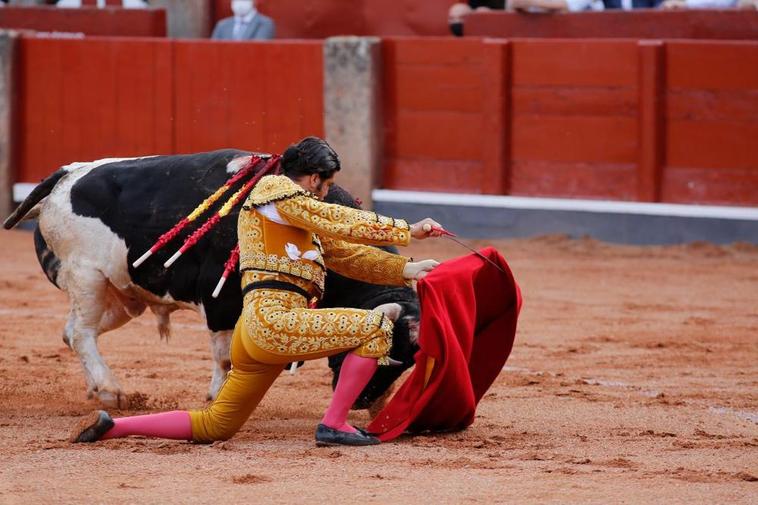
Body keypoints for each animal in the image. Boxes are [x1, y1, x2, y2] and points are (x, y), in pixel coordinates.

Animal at [2, 148, 418, 408]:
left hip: (123, 293)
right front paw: (218, 397)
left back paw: (96, 388)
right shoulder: (220, 302)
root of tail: (66, 174)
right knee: (82, 332)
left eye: (407, 363)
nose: (365, 403)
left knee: (71, 330)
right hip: (87, 276)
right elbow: (224, 356)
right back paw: (110, 392)